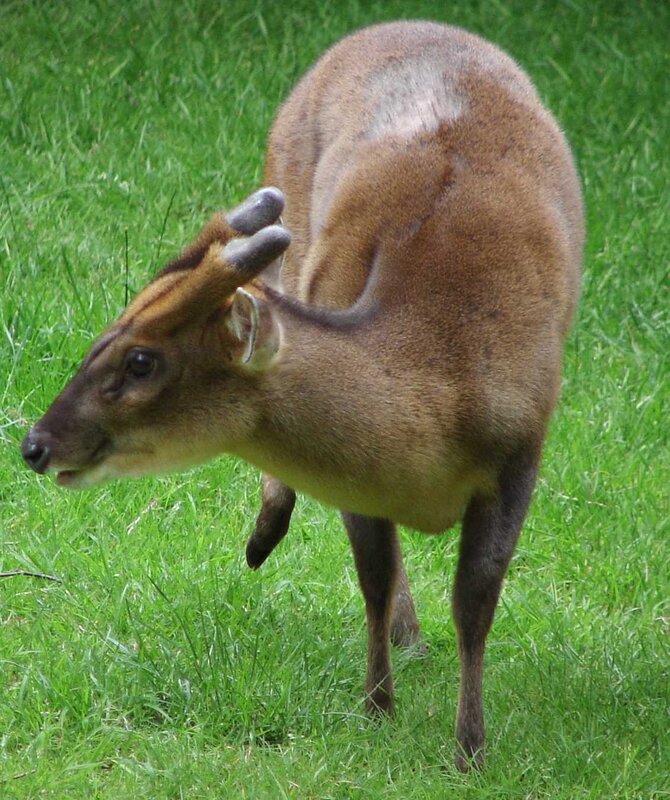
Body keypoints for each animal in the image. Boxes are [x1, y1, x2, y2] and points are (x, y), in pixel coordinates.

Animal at [21, 21, 583, 769]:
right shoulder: (362, 474)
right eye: (100, 338)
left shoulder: (522, 446)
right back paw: (272, 543)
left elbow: (475, 599)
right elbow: (374, 575)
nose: (34, 443)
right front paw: (377, 707)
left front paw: (470, 748)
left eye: (141, 361)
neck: (443, 375)